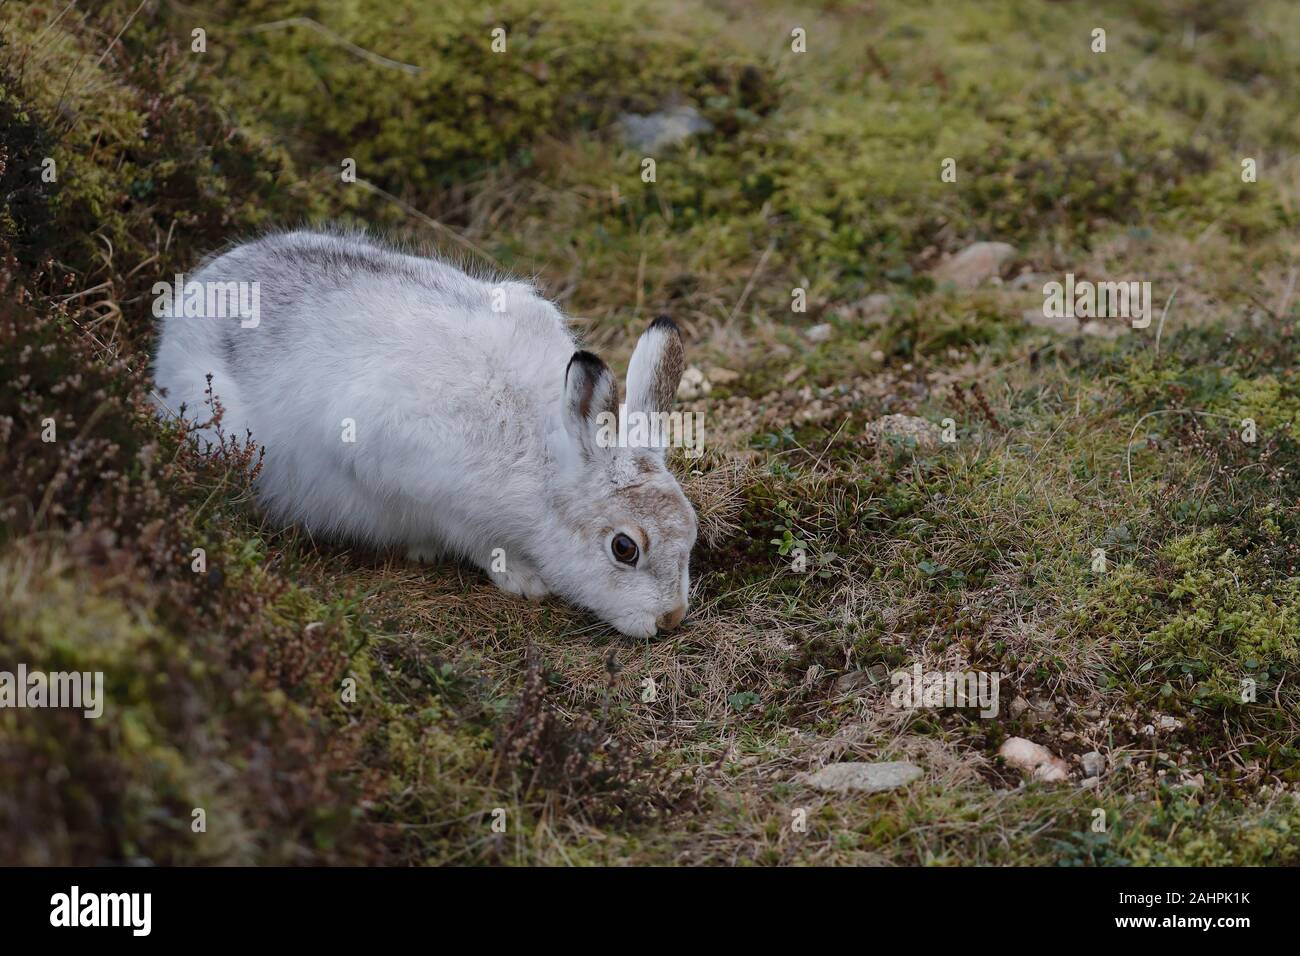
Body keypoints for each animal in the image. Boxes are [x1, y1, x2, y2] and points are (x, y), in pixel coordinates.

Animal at [152, 229, 697, 638]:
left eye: (690, 532)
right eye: (624, 548)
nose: (670, 618)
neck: (545, 464)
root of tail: (188, 305)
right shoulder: (415, 480)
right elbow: (475, 540)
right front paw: (525, 580)